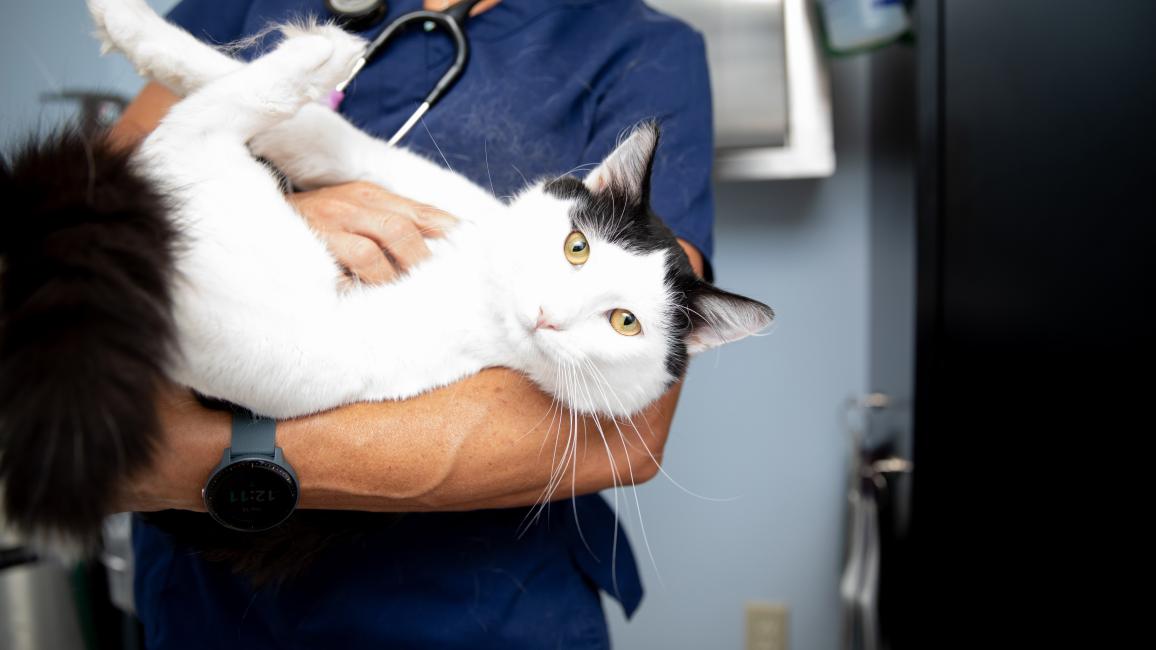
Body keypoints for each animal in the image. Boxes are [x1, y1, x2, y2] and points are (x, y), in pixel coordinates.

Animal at [2, 1, 776, 550]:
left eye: (624, 322)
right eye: (577, 247)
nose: (547, 312)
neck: (476, 281)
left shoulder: (304, 343)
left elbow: (191, 131)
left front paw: (310, 52)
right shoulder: (422, 185)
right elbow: (312, 129)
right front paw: (139, 28)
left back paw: (322, 51)